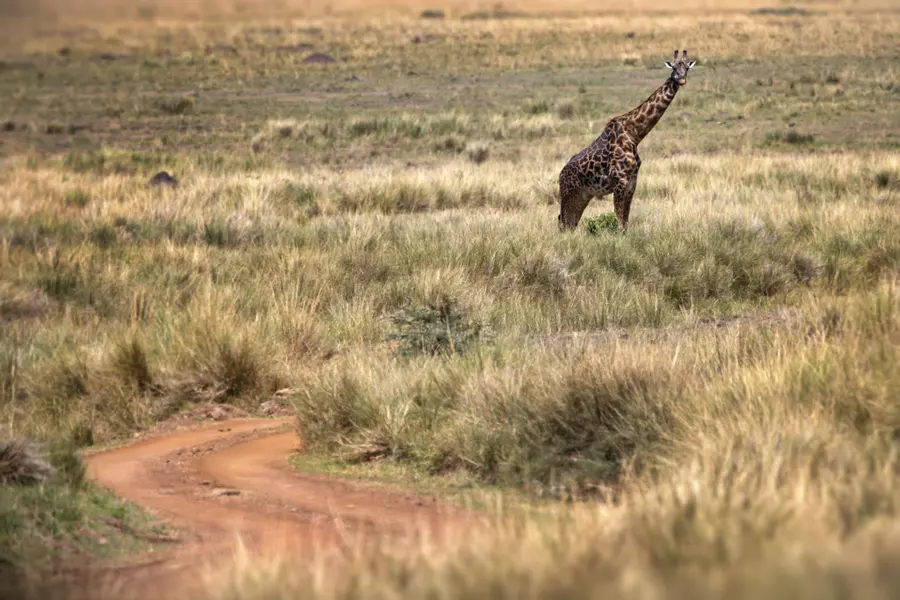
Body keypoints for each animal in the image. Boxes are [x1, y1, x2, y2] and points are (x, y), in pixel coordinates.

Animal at [557, 50, 696, 232]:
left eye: (686, 68)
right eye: (673, 68)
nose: (681, 80)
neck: (634, 135)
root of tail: (560, 176)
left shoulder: (632, 182)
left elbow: (626, 219)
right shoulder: (620, 181)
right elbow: (619, 218)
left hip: (582, 196)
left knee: (568, 223)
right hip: (568, 194)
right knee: (562, 222)